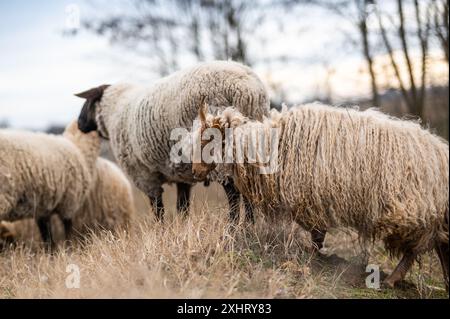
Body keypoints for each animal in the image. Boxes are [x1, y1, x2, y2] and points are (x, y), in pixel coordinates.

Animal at [0, 121, 100, 249]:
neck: (79, 147)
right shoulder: (69, 204)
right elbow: (68, 232)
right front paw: (70, 249)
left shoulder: (42, 209)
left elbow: (47, 238)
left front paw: (51, 252)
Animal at [75, 60, 268, 221]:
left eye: (88, 101)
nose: (79, 124)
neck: (115, 111)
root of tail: (247, 90)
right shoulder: (182, 175)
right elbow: (182, 207)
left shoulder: (143, 175)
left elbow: (158, 209)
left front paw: (160, 231)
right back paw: (249, 224)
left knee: (234, 193)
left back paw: (234, 227)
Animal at [193, 103, 450, 292]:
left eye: (207, 140)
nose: (195, 171)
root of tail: (442, 153)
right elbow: (317, 234)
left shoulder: (309, 200)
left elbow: (317, 234)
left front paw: (311, 257)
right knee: (440, 247)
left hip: (415, 213)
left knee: (416, 249)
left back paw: (392, 279)